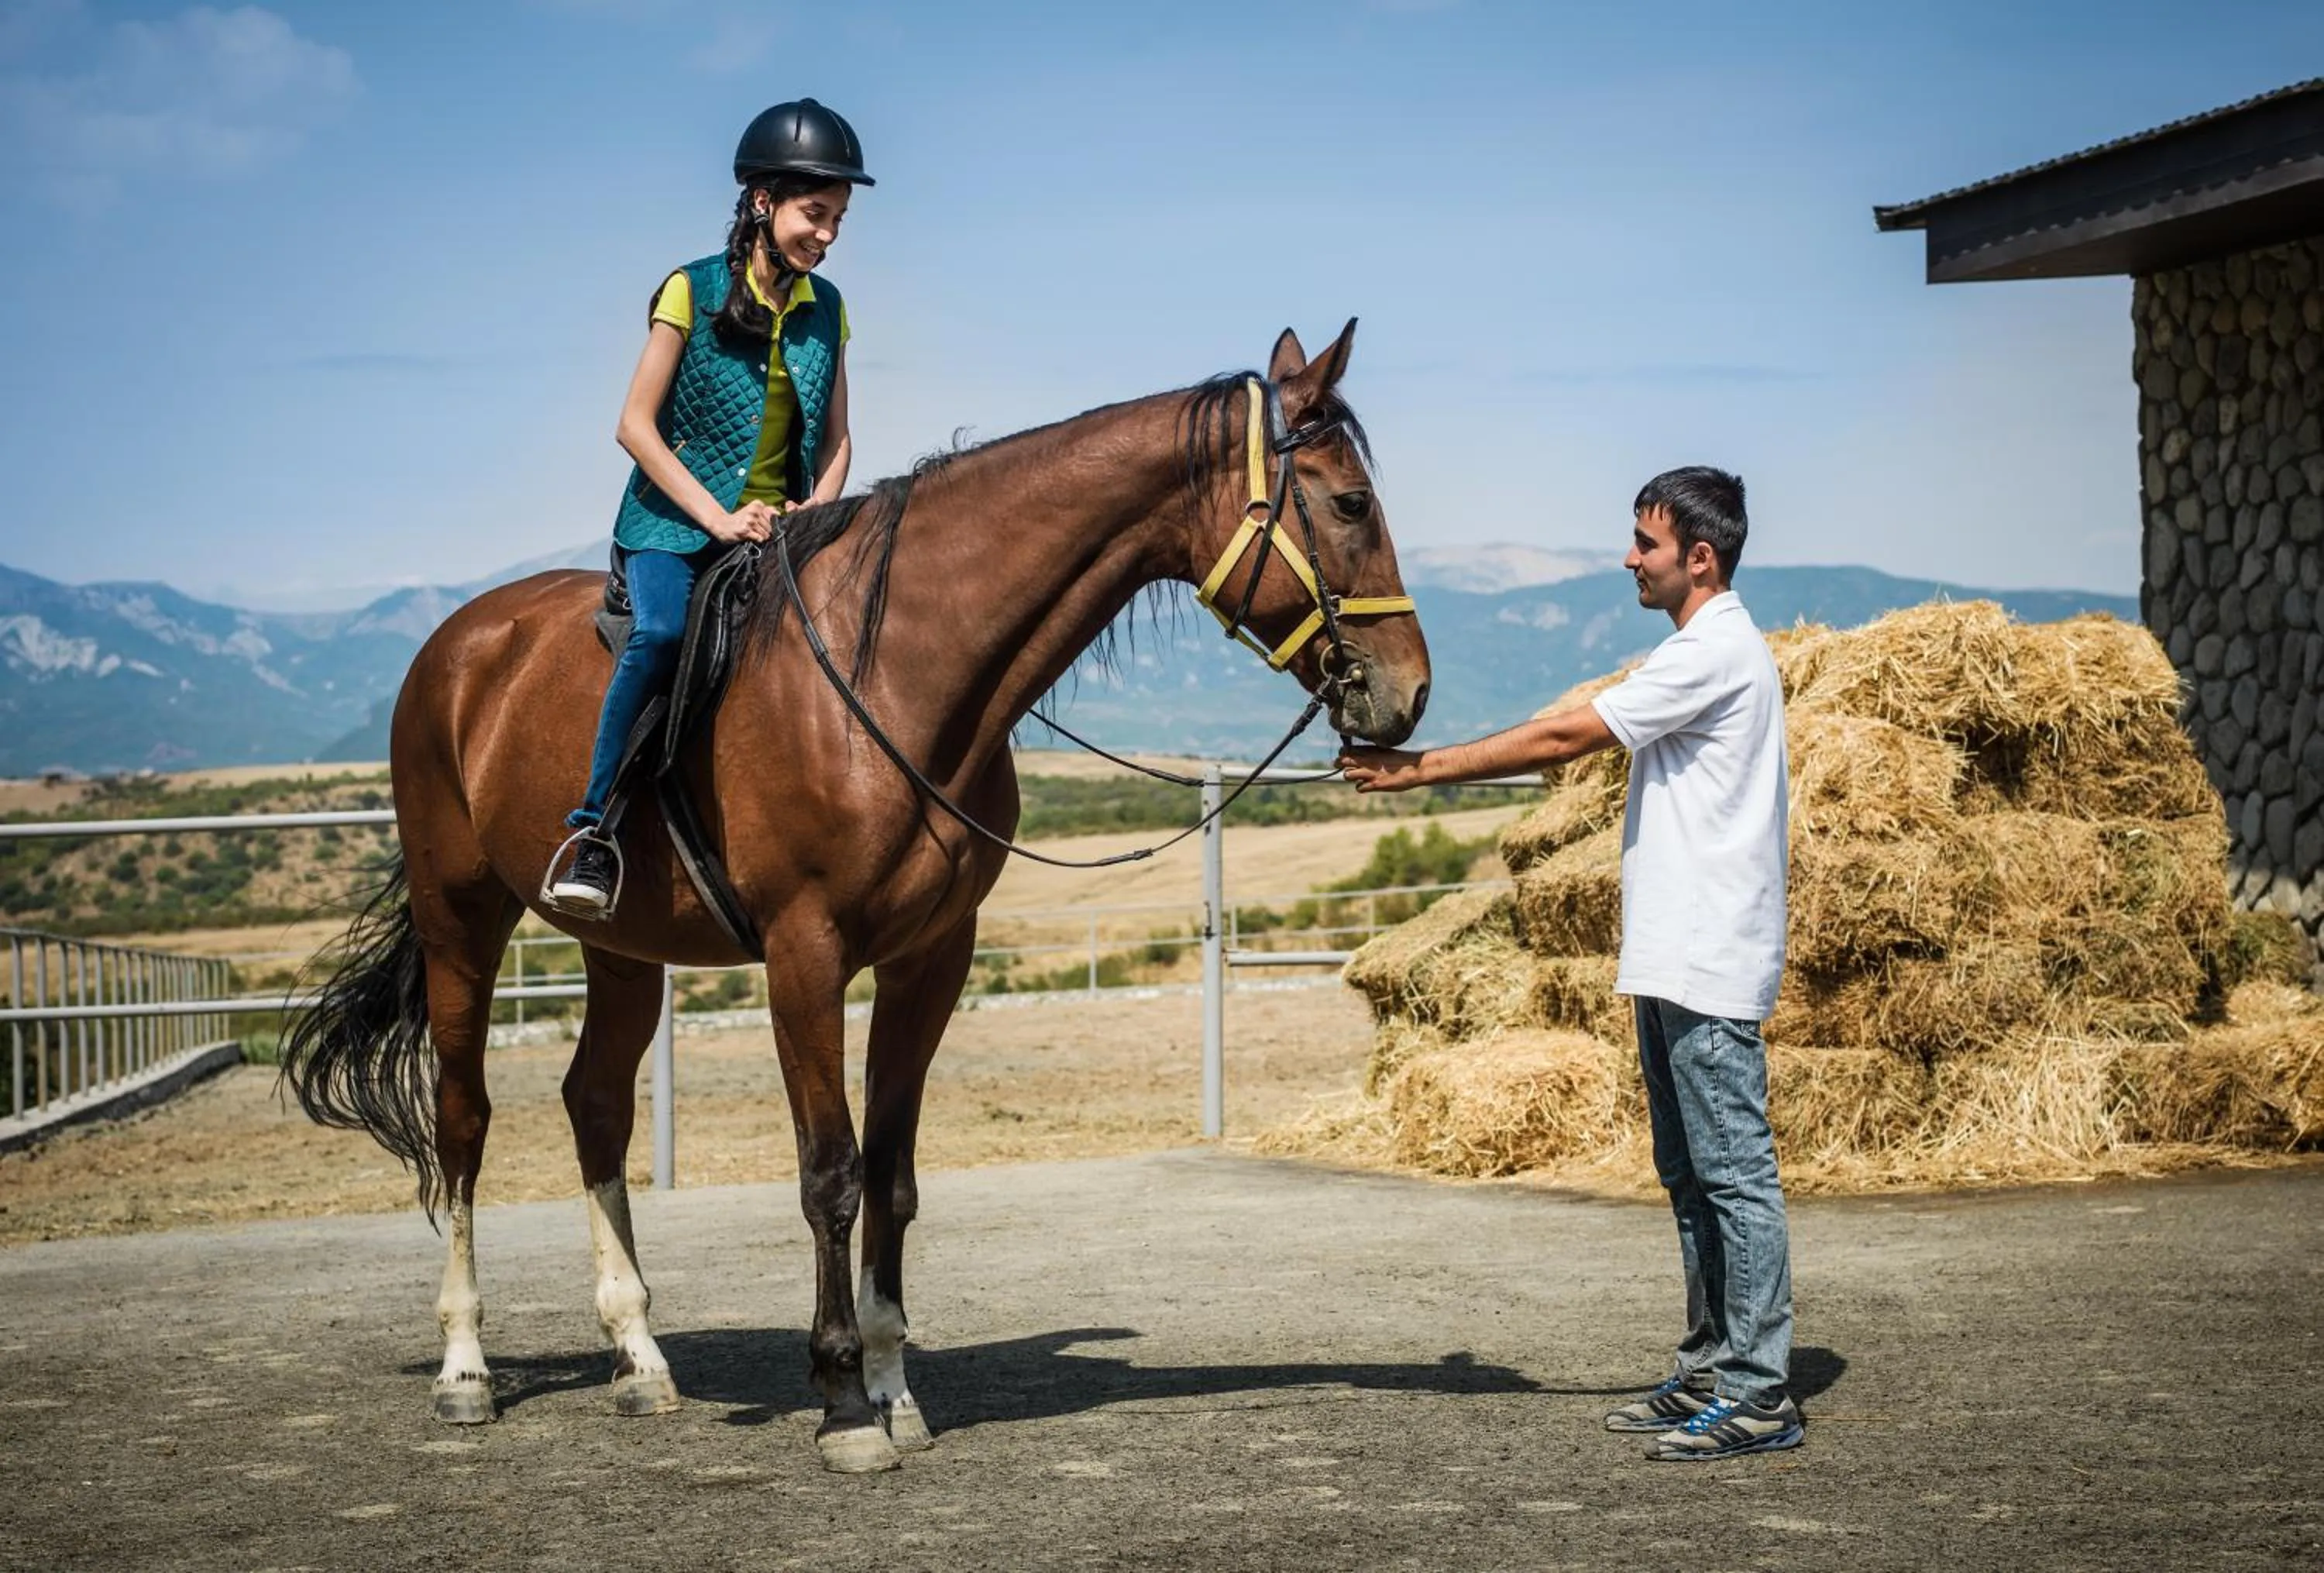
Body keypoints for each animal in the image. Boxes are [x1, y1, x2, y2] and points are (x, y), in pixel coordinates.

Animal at [278, 321, 1431, 1473]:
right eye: (1347, 505)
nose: (1408, 690)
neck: (899, 677)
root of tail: (462, 642)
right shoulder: (807, 953)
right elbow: (830, 1170)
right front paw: (841, 1405)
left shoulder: (931, 957)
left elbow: (894, 1172)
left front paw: (892, 1385)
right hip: (460, 918)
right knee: (463, 1118)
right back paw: (465, 1366)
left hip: (622, 948)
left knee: (595, 1104)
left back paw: (639, 1356)